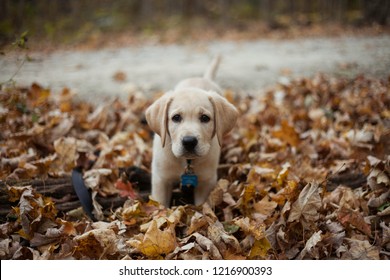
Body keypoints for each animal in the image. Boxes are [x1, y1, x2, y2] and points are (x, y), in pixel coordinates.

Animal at [145, 57, 238, 207]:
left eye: (205, 118)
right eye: (176, 118)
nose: (189, 142)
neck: (187, 162)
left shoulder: (206, 181)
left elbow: (202, 206)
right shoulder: (161, 179)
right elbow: (160, 204)